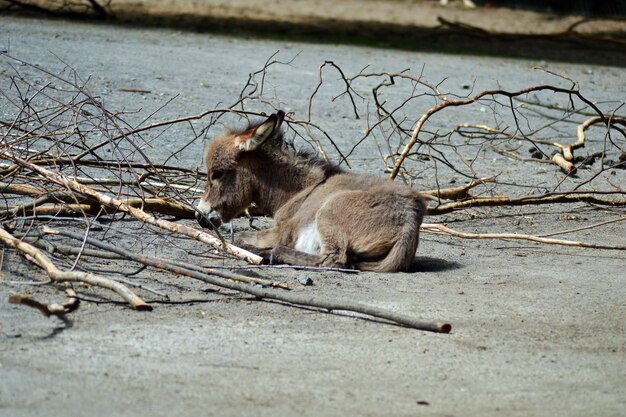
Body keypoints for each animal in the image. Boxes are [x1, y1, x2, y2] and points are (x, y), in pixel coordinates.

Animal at [197, 111, 426, 272]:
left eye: (217, 174)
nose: (200, 216)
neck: (301, 190)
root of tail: (409, 222)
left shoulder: (283, 232)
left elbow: (242, 235)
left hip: (329, 212)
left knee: (333, 260)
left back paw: (268, 254)